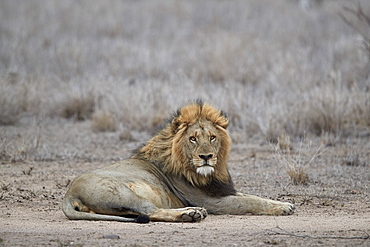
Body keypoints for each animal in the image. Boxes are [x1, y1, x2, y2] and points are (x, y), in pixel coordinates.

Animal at [62, 101, 294, 223]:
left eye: (212, 137)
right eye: (193, 139)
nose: (206, 157)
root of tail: (68, 194)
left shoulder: (221, 190)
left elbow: (253, 196)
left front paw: (283, 203)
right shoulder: (212, 201)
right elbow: (249, 202)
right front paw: (284, 208)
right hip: (123, 192)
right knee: (150, 212)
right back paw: (191, 213)